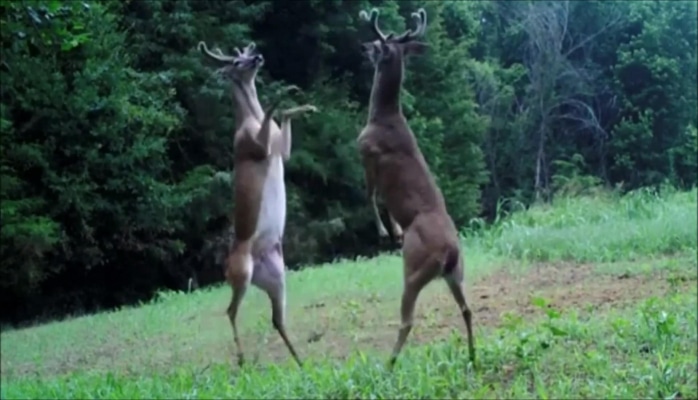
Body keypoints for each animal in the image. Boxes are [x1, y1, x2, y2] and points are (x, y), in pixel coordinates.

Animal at [196, 39, 316, 368]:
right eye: (237, 62)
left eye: (246, 53)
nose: (258, 56)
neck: (247, 119)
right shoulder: (256, 147)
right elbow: (272, 111)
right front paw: (283, 92)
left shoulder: (280, 151)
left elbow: (283, 122)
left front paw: (305, 104)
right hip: (241, 274)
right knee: (230, 310)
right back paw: (241, 359)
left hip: (277, 275)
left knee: (276, 318)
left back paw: (301, 361)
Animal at [356, 7, 476, 368]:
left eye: (377, 44)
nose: (362, 46)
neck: (382, 115)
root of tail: (450, 253)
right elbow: (381, 199)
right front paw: (393, 229)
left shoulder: (367, 152)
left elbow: (370, 195)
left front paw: (385, 231)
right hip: (456, 272)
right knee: (468, 309)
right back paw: (472, 356)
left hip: (413, 266)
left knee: (408, 319)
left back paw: (389, 364)